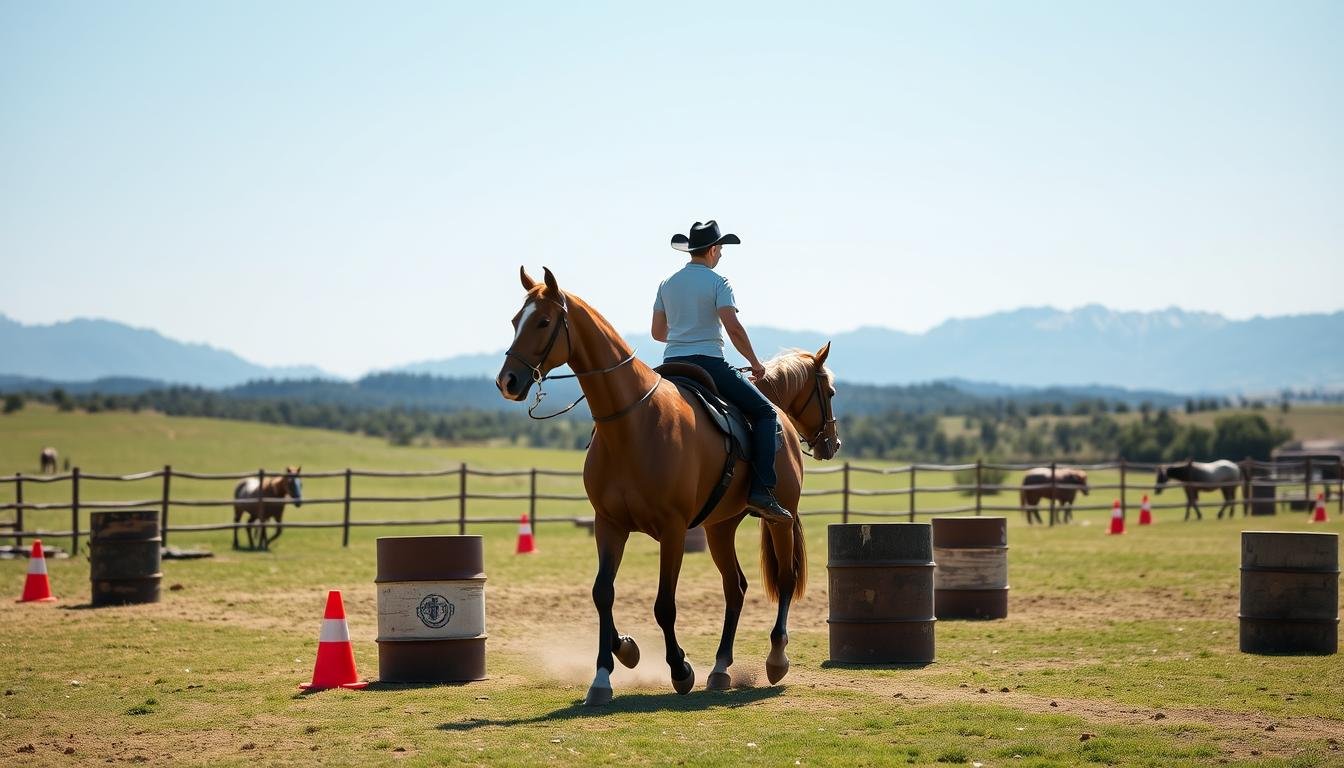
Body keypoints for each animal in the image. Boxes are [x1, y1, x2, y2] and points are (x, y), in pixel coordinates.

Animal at [496, 267, 837, 706]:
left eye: (542, 322)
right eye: (515, 321)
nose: (508, 380)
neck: (631, 423)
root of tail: (777, 416)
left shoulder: (673, 531)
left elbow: (664, 605)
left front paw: (680, 669)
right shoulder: (609, 525)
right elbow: (602, 593)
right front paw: (613, 663)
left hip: (781, 518)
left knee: (785, 579)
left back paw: (775, 658)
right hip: (719, 528)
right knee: (736, 588)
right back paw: (721, 667)